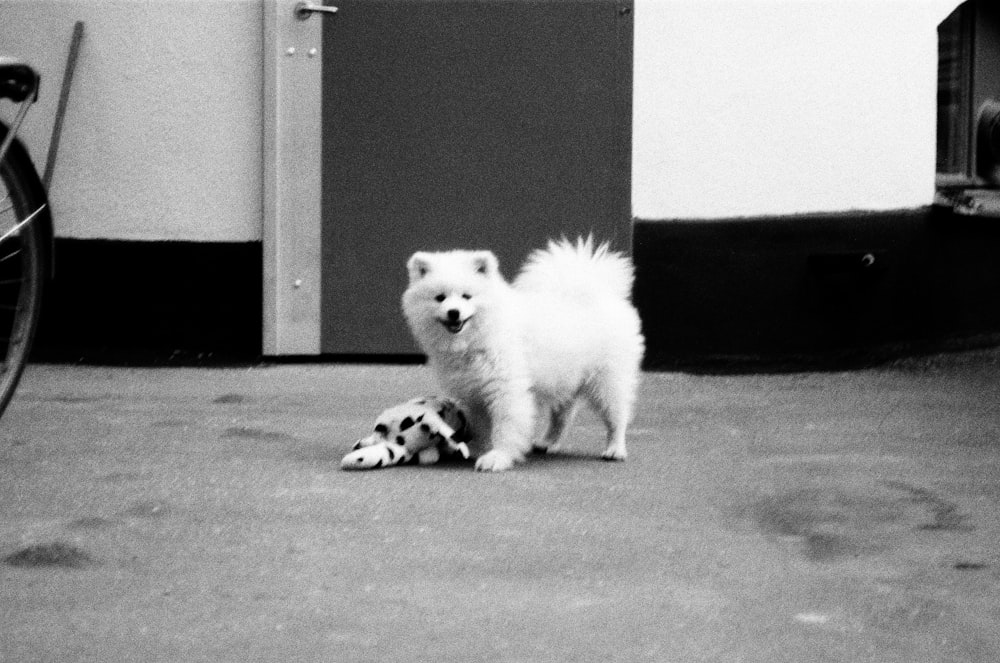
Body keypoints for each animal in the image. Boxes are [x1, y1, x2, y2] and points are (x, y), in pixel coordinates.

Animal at [402, 239, 644, 472]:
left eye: (466, 297)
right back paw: (548, 442)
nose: (454, 312)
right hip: (565, 379)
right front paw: (480, 449)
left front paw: (498, 457)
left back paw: (615, 449)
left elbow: (505, 426)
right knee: (563, 416)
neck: (482, 335)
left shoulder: (506, 389)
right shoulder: (474, 393)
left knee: (617, 416)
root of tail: (596, 291)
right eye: (440, 298)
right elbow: (480, 425)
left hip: (607, 381)